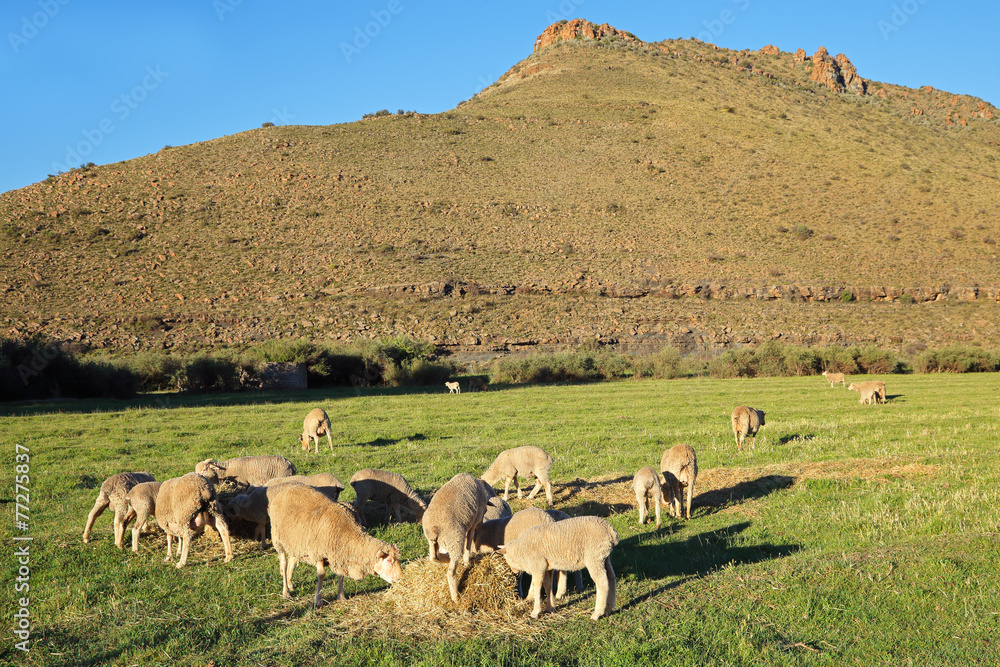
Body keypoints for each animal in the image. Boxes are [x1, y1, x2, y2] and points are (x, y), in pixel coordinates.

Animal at [269, 483, 402, 608]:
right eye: (389, 561)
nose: (400, 579)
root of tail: (288, 488)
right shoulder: (319, 554)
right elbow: (321, 575)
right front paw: (318, 600)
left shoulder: (339, 555)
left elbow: (340, 575)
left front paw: (341, 597)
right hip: (278, 540)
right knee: (284, 564)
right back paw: (286, 592)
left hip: (294, 541)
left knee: (292, 559)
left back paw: (290, 584)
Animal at [422, 472, 489, 602]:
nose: (482, 525)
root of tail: (433, 529)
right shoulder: (473, 522)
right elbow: (469, 541)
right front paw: (467, 561)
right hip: (455, 540)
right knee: (450, 571)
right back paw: (456, 597)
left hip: (433, 541)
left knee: (433, 557)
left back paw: (446, 559)